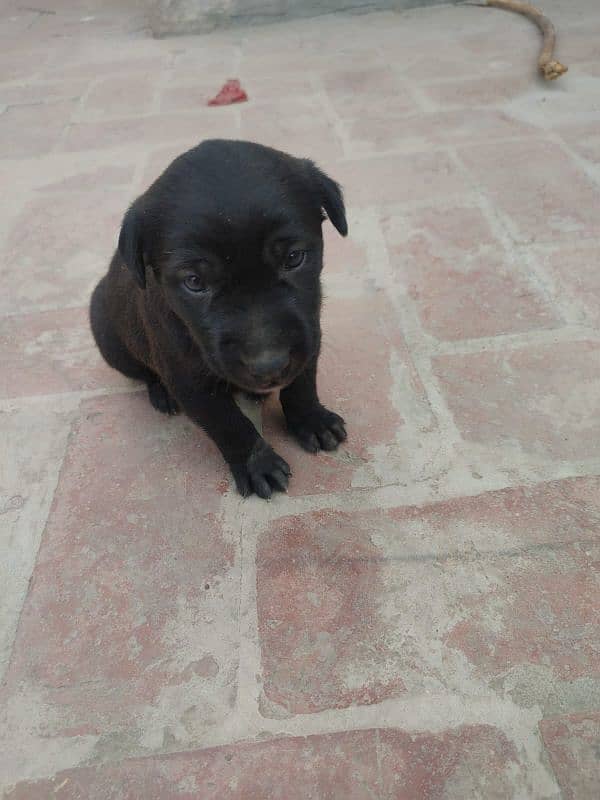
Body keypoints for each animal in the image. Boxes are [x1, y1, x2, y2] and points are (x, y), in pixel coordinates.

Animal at [91, 139, 350, 500]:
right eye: (194, 282)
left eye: (294, 258)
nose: (269, 366)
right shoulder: (189, 379)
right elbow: (228, 423)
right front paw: (258, 464)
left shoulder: (310, 337)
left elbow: (301, 384)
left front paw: (313, 420)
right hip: (110, 340)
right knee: (144, 373)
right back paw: (161, 394)